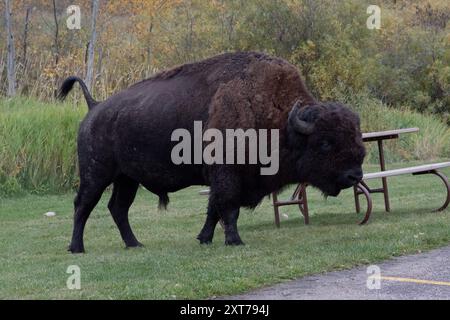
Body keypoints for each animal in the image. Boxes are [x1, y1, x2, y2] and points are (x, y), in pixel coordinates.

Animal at [58, 52, 364, 252]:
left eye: (355, 135)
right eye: (325, 143)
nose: (355, 175)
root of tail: (95, 107)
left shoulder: (222, 178)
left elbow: (213, 209)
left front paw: (204, 238)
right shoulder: (227, 175)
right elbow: (227, 207)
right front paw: (234, 241)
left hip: (127, 179)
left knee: (118, 208)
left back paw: (135, 244)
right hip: (96, 175)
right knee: (83, 205)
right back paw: (76, 247)